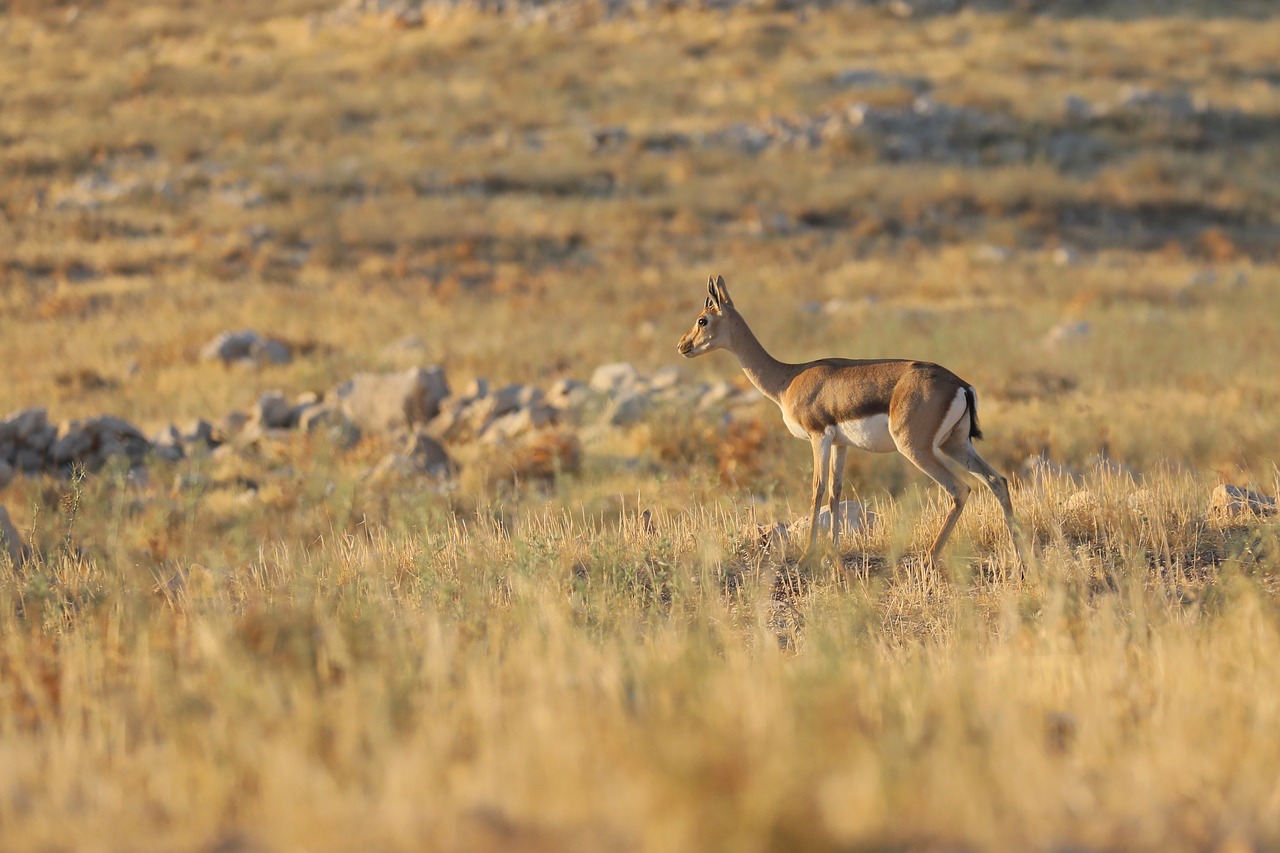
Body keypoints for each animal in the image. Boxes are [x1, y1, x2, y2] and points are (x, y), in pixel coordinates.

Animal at [675, 275, 1013, 560]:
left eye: (703, 319)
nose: (682, 345)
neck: (787, 379)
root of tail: (960, 384)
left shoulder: (818, 438)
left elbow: (817, 489)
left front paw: (808, 553)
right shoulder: (840, 444)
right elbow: (836, 491)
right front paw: (834, 550)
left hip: (917, 449)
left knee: (960, 489)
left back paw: (931, 556)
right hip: (954, 445)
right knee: (997, 480)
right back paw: (1020, 554)